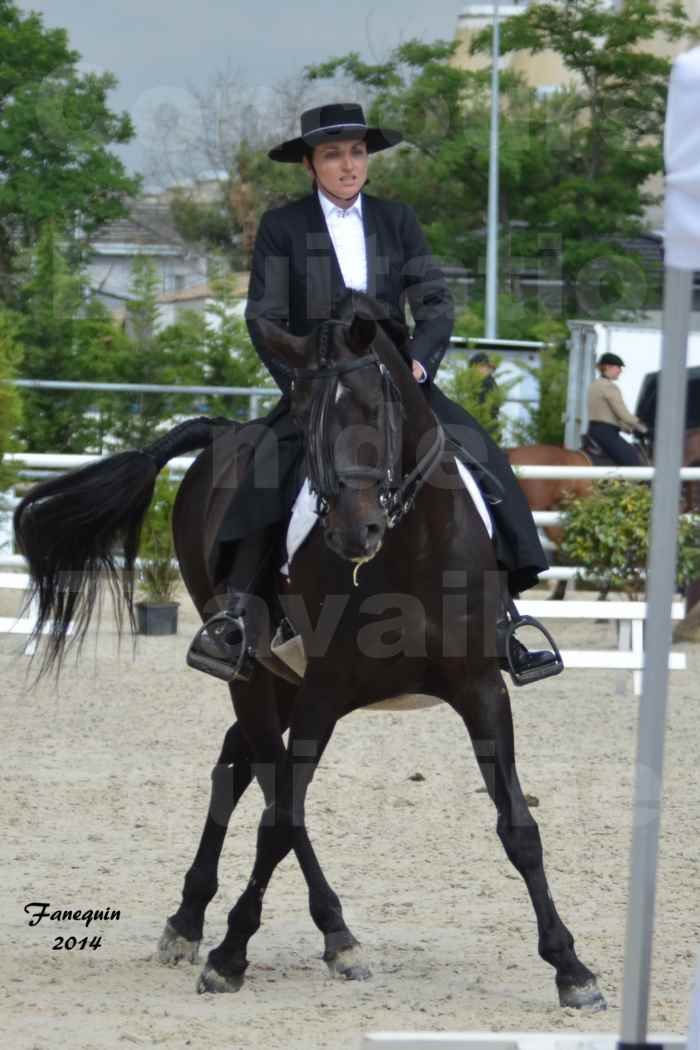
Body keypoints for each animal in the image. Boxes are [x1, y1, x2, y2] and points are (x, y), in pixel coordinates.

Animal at [12, 289, 608, 1007]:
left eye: (380, 407)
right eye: (303, 414)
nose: (357, 530)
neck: (409, 552)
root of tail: (222, 432)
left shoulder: (481, 689)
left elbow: (517, 823)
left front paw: (571, 967)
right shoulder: (326, 691)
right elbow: (282, 817)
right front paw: (232, 955)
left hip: (283, 684)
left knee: (236, 766)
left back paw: (195, 918)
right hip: (257, 674)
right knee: (267, 784)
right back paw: (315, 934)